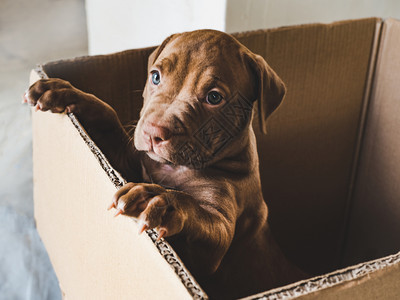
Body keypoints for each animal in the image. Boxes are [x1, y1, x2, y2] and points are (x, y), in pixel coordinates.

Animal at [25, 29, 304, 298]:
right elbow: (108, 117)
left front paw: (157, 198)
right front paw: (66, 92)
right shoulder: (129, 161)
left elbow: (198, 214)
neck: (173, 167)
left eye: (214, 97)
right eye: (156, 77)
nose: (153, 132)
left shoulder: (214, 243)